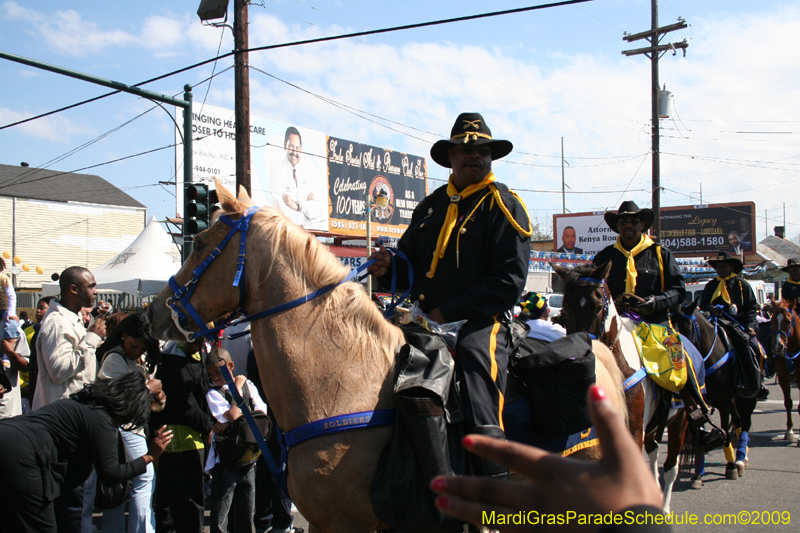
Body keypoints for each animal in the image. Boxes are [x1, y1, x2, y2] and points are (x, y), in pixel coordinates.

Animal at [672, 302, 760, 480]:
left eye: (687, 326)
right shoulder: (698, 402)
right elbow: (698, 428)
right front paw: (698, 474)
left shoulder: (724, 403)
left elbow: (725, 429)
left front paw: (731, 466)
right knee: (738, 421)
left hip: (748, 399)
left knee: (744, 423)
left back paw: (741, 460)